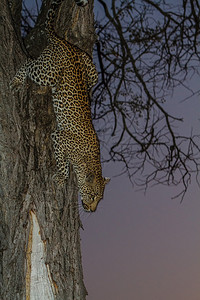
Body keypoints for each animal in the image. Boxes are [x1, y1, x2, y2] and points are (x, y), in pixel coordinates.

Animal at [10, 0, 110, 212]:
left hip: (92, 71)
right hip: (47, 73)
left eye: (100, 198)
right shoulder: (59, 137)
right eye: (92, 195)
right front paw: (61, 178)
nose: (92, 209)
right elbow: (63, 163)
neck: (87, 160)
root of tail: (64, 42)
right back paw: (17, 81)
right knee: (28, 62)